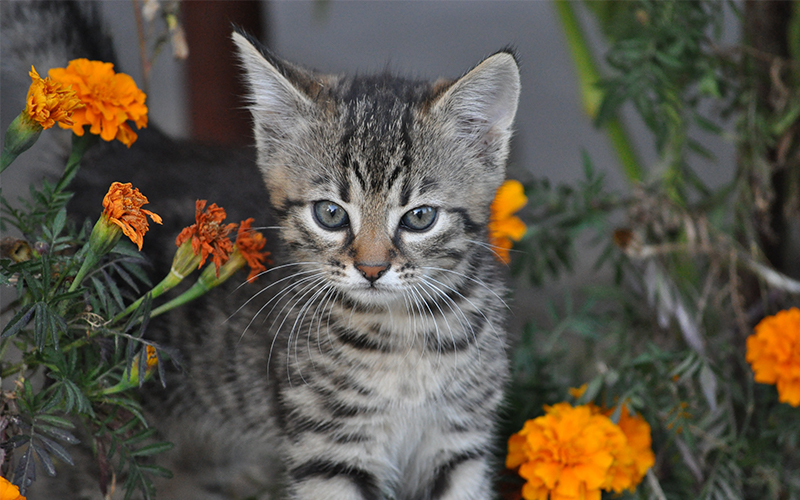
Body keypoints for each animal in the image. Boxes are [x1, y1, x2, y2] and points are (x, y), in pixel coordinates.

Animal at [1, 1, 520, 498]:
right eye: (330, 214)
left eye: (420, 218)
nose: (372, 269)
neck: (405, 337)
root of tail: (128, 150)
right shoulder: (330, 450)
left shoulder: (461, 444)